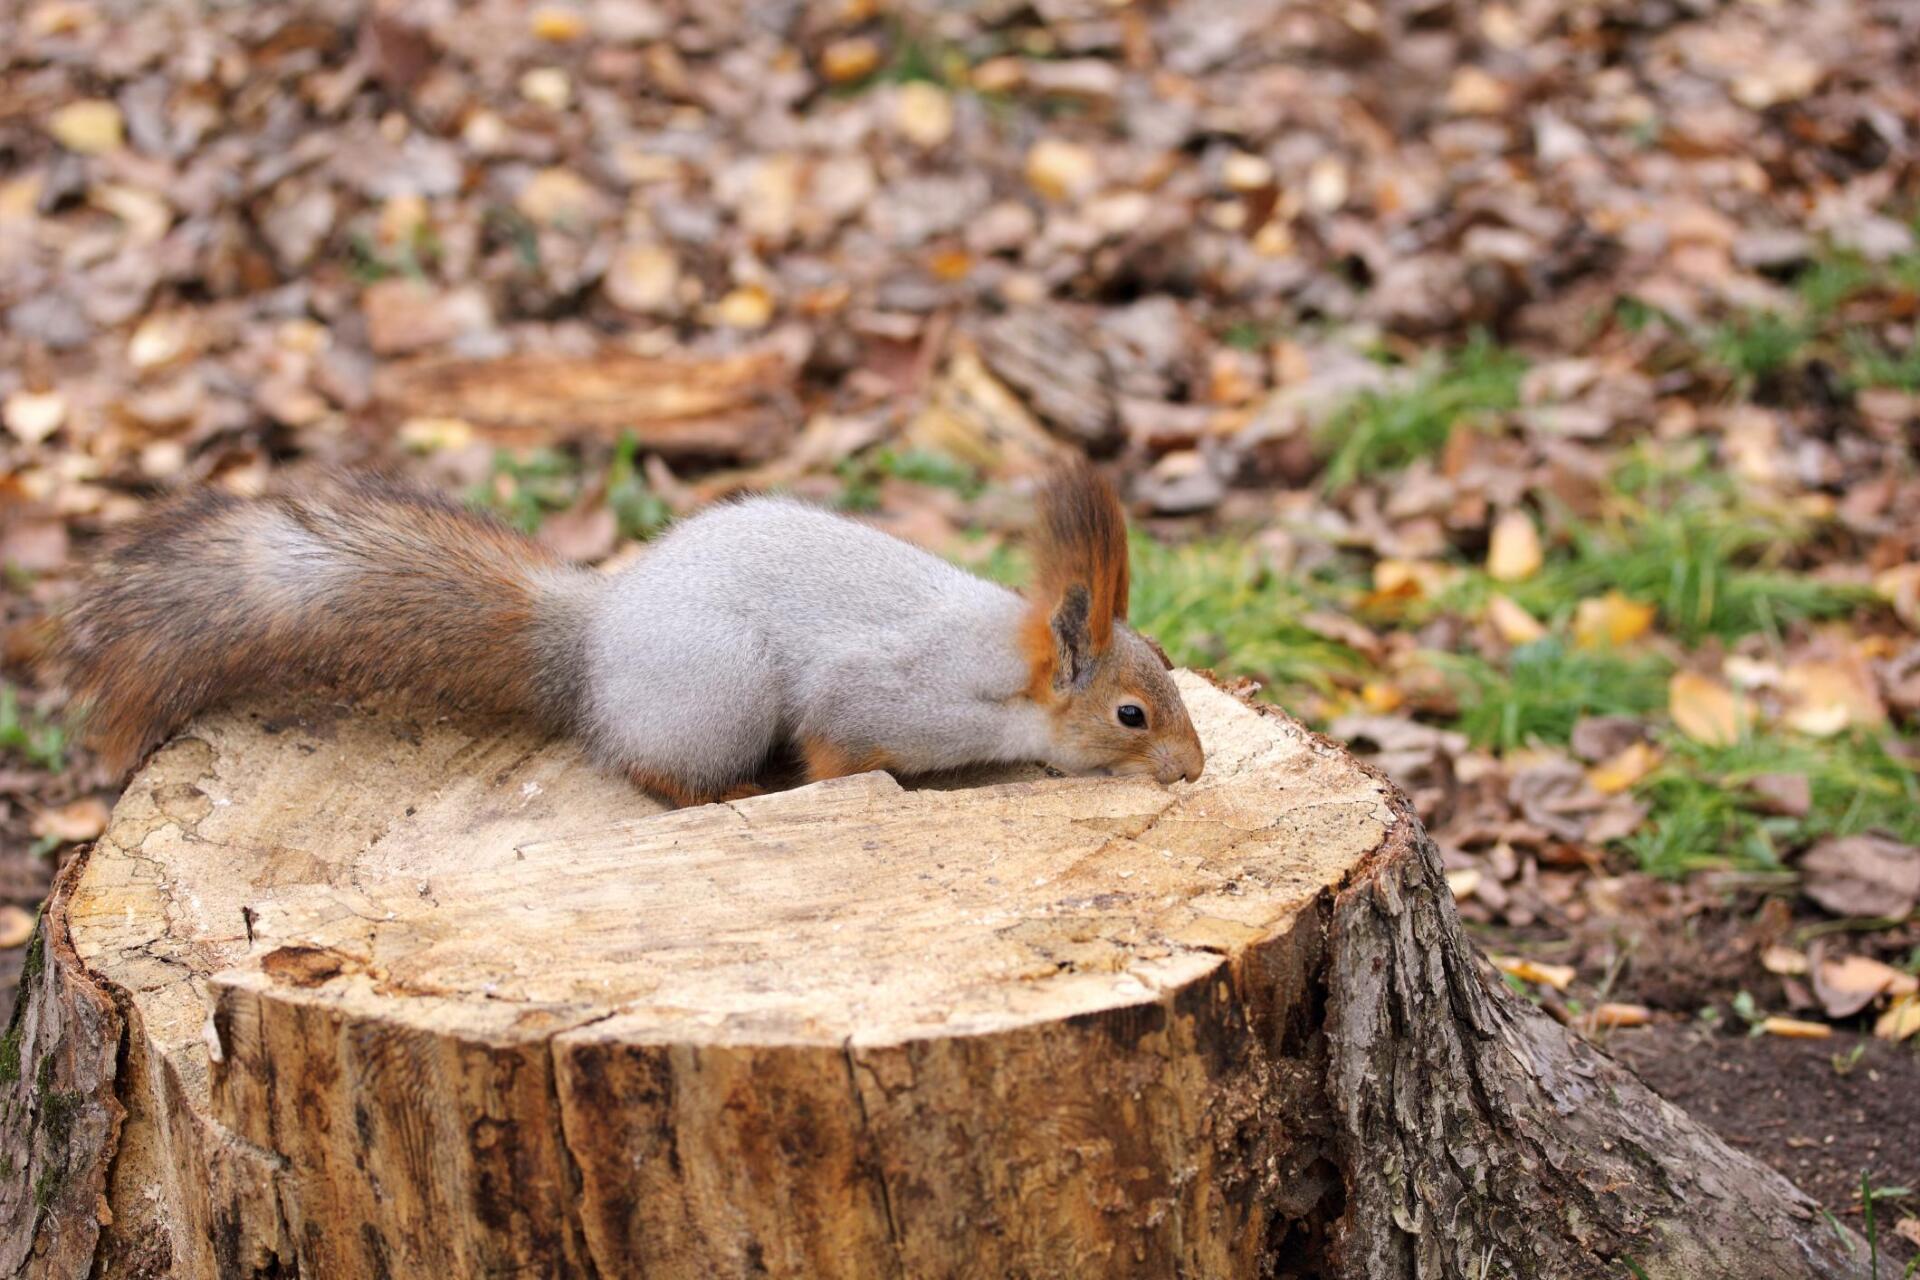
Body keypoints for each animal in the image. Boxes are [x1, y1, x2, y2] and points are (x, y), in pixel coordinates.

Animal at [43, 462, 1205, 807]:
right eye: (1132, 713)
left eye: (1172, 667)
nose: (1194, 769)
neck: (1010, 676)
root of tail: (596, 644)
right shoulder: (887, 695)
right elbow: (839, 744)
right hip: (717, 696)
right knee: (656, 770)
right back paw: (726, 794)